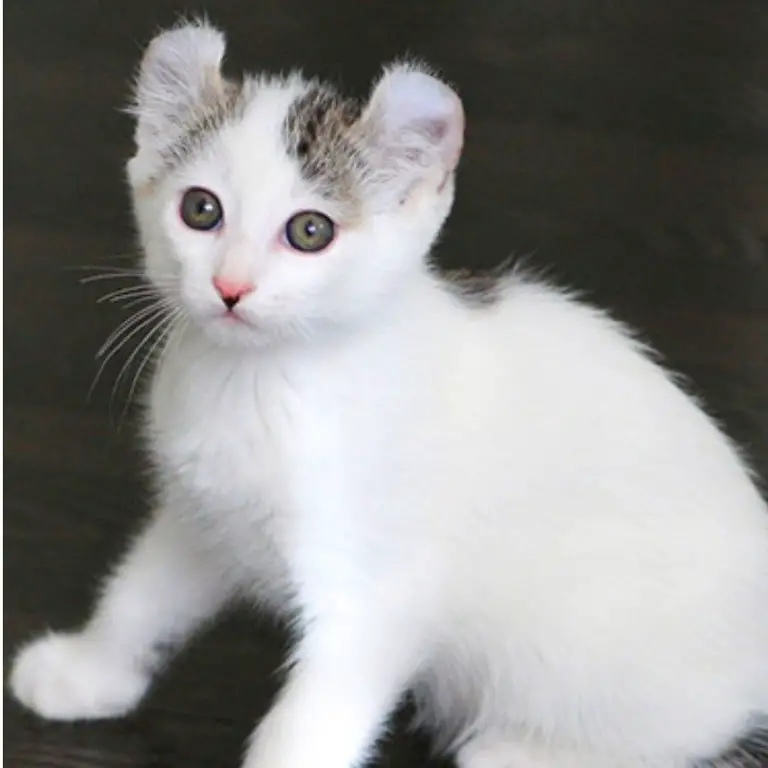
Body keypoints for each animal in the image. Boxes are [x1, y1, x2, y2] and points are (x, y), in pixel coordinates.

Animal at [7, 18, 768, 768]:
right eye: (201, 210)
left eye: (310, 231)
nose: (230, 286)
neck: (262, 384)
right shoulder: (202, 519)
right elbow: (141, 595)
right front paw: (86, 670)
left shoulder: (375, 599)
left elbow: (307, 728)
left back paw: (516, 750)